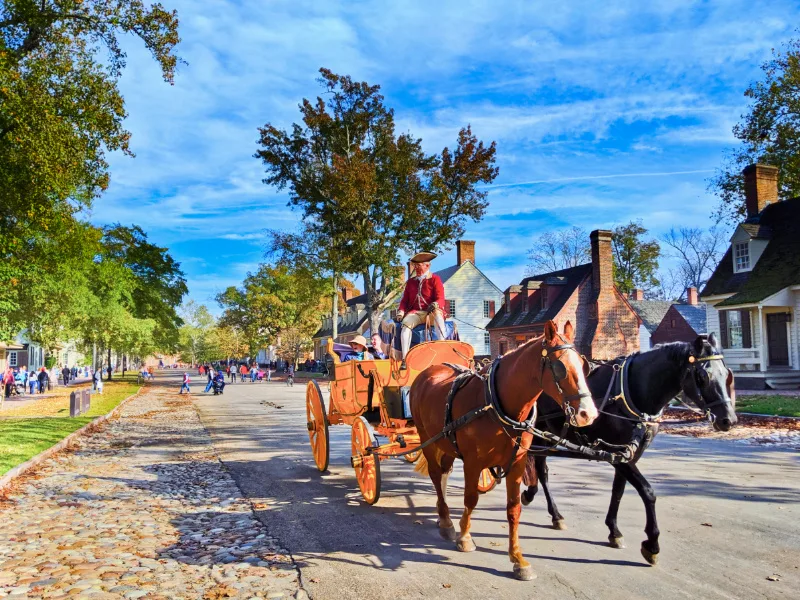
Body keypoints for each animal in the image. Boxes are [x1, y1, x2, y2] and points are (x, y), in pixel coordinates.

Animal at [412, 322, 592, 580]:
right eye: (559, 367)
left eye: (583, 364)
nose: (588, 413)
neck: (497, 404)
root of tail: (428, 372)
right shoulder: (473, 462)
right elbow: (471, 498)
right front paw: (465, 536)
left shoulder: (517, 462)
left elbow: (514, 508)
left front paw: (518, 558)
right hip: (427, 438)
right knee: (437, 475)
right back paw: (446, 520)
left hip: (445, 442)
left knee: (444, 472)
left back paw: (441, 513)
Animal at [520, 336, 736, 564]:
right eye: (703, 376)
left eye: (726, 373)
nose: (728, 420)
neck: (633, 391)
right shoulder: (617, 454)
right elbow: (647, 492)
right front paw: (652, 544)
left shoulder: (626, 454)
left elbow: (618, 490)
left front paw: (614, 530)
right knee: (540, 469)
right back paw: (547, 507)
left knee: (540, 468)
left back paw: (545, 506)